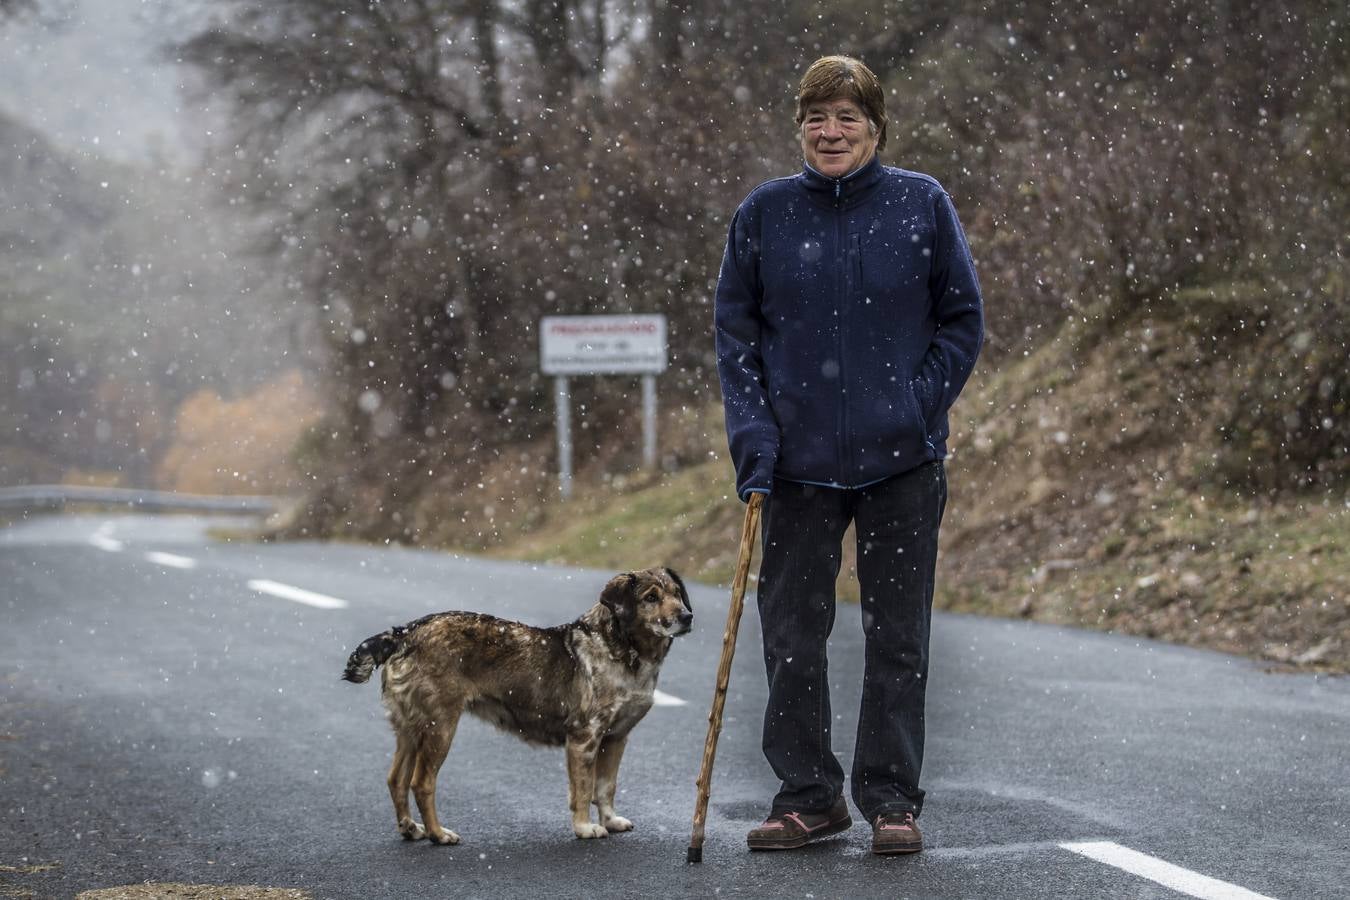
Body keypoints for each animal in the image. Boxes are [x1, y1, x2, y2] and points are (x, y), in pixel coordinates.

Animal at [337, 569, 696, 847]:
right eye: (651, 597)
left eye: (677, 594)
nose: (687, 616)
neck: (623, 649)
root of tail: (404, 633)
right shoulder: (585, 737)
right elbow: (583, 790)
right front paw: (584, 827)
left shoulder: (616, 738)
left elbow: (606, 788)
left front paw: (610, 821)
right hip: (440, 727)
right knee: (421, 783)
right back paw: (439, 834)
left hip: (411, 729)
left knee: (395, 779)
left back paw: (411, 829)